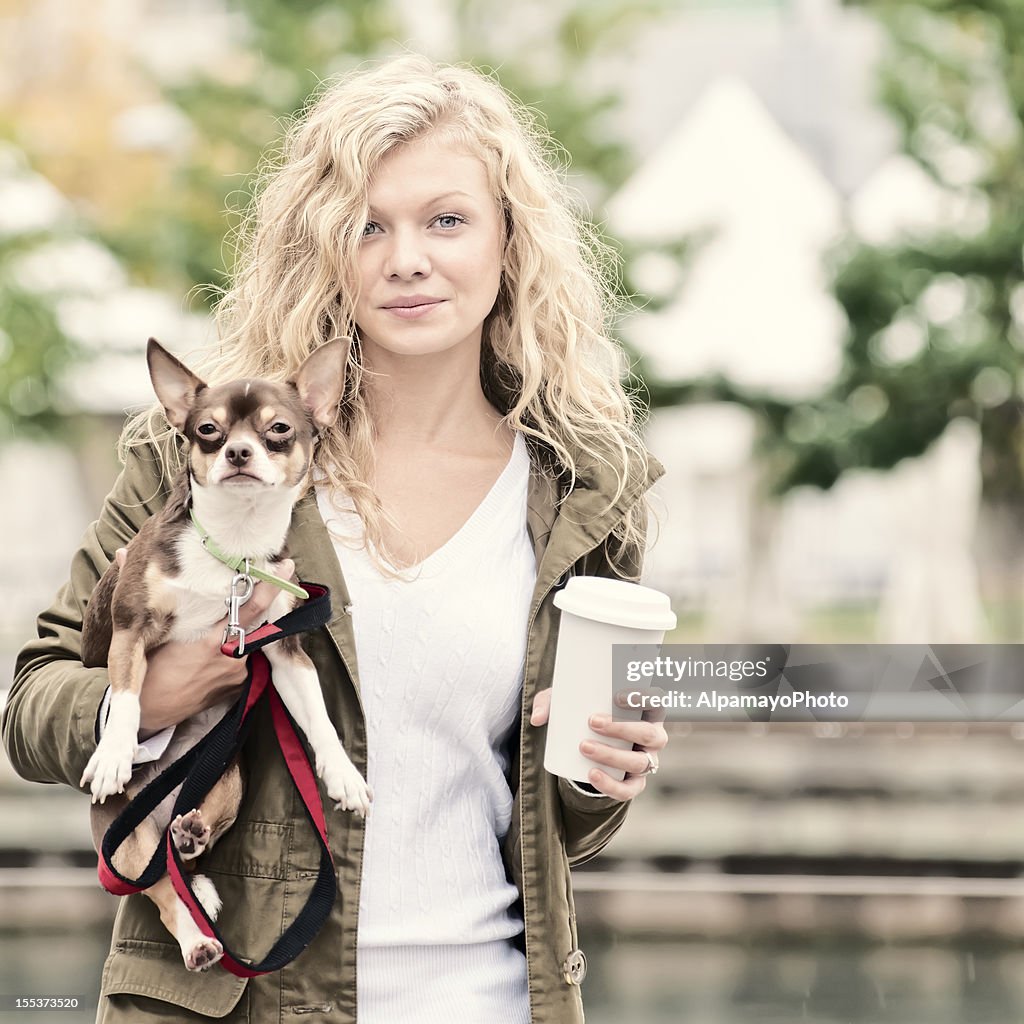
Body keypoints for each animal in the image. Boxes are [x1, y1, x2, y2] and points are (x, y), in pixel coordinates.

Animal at [80, 339, 372, 970]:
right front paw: (113, 753)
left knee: (192, 850)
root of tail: (162, 814)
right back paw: (196, 941)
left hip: (227, 782)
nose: (238, 451)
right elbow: (128, 696)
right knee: (163, 891)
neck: (233, 550)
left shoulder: (283, 651)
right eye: (207, 430)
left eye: (279, 429)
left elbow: (319, 719)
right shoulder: (130, 631)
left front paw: (342, 774)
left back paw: (190, 835)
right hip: (122, 836)